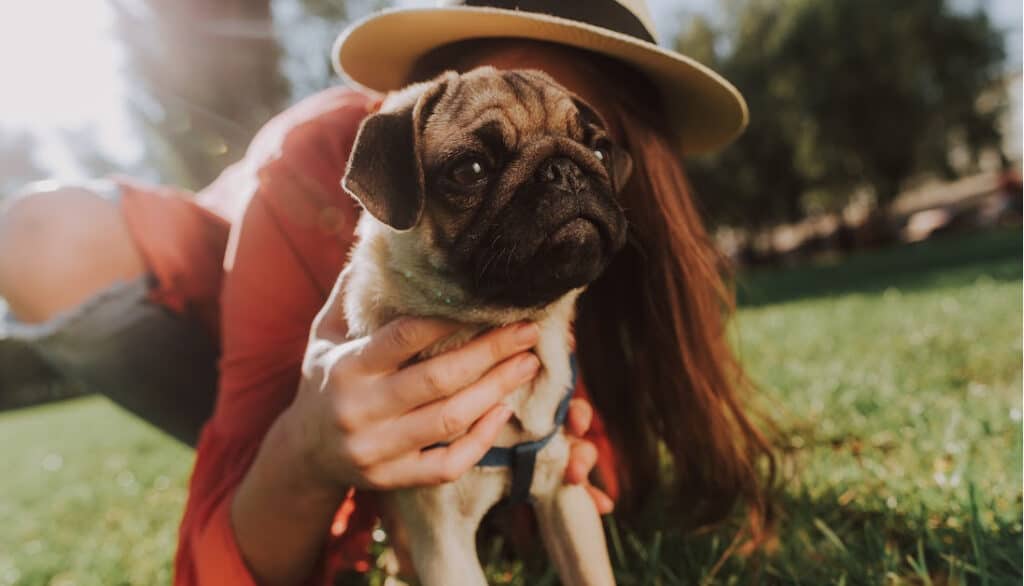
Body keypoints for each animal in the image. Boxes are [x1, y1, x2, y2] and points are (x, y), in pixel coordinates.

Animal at [339, 66, 626, 586]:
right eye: (470, 170)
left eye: (598, 151)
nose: (565, 170)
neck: (494, 321)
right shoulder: (442, 540)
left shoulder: (566, 496)